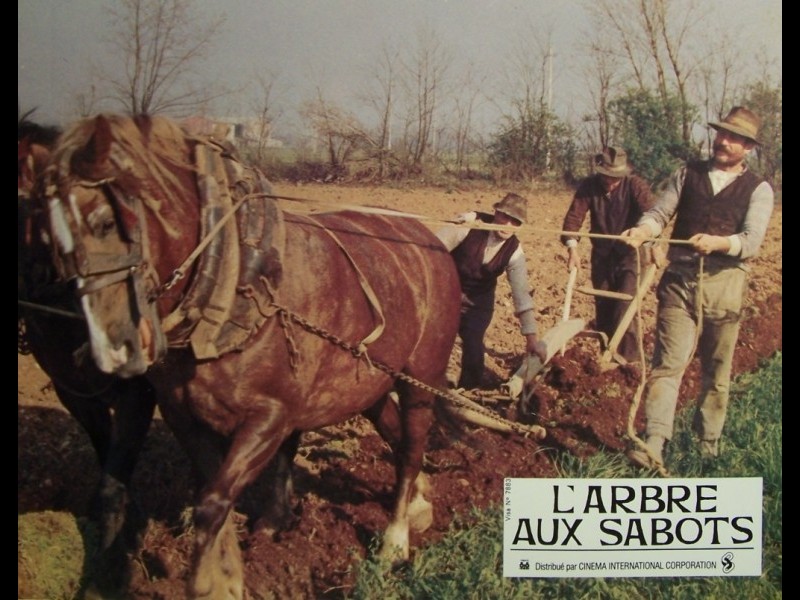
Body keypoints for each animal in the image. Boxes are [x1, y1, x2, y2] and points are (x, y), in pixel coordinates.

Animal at [18, 118, 157, 596]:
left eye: (25, 210)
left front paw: (108, 572)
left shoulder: (138, 394)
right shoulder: (74, 394)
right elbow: (106, 460)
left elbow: (114, 482)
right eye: (46, 227)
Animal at [39, 113, 462, 600]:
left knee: (411, 447)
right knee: (393, 433)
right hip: (369, 383)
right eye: (49, 237)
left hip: (421, 378)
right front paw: (229, 571)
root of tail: (431, 241)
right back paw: (418, 504)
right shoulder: (185, 415)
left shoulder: (270, 417)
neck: (233, 276)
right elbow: (211, 494)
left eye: (106, 222)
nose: (109, 349)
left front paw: (211, 582)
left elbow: (213, 502)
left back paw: (395, 540)